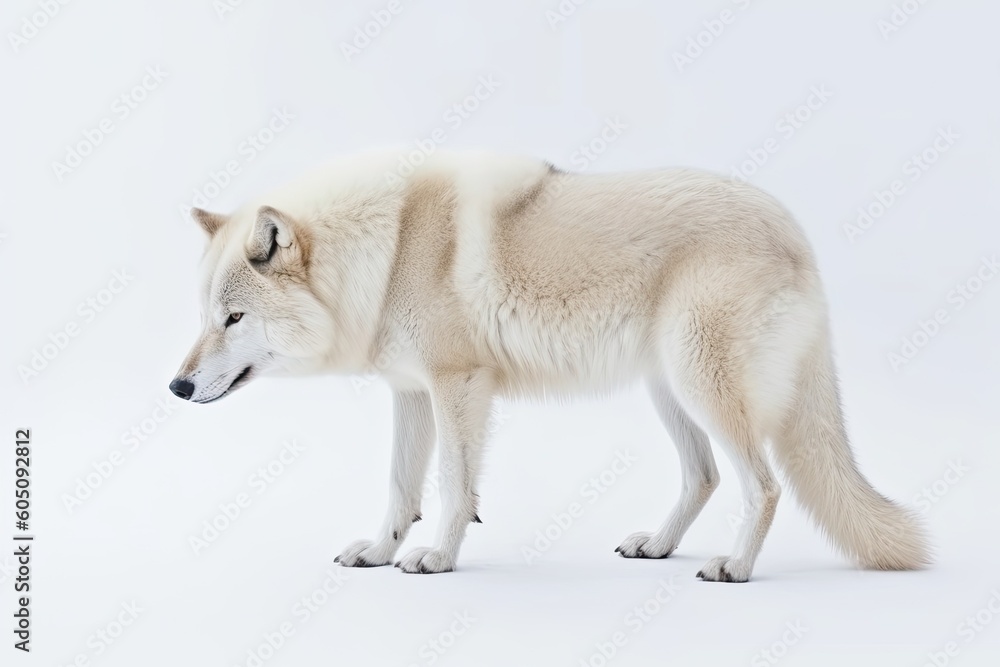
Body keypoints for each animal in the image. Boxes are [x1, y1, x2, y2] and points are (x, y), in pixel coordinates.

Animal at [170, 149, 929, 581]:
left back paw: (735, 567)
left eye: (233, 319)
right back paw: (658, 546)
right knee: (706, 476)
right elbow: (400, 489)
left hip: (702, 386)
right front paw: (380, 553)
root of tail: (797, 231)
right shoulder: (411, 391)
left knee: (764, 486)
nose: (176, 386)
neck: (384, 252)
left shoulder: (459, 386)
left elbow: (452, 488)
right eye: (203, 316)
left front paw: (436, 559)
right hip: (669, 392)